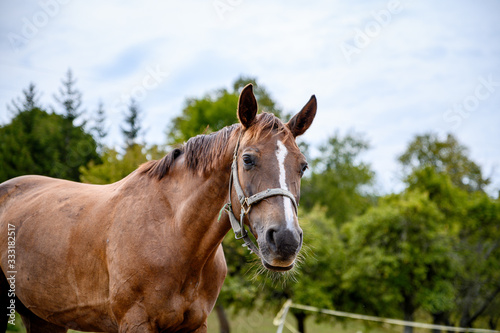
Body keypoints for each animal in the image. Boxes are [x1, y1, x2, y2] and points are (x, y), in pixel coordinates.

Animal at [0, 84, 316, 330]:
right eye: (248, 159)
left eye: (303, 166)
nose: (285, 240)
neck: (173, 233)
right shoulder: (136, 323)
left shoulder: (195, 325)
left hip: (44, 318)